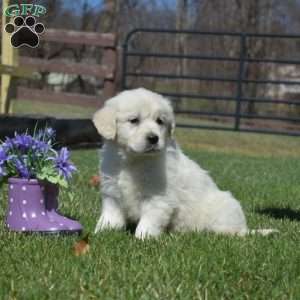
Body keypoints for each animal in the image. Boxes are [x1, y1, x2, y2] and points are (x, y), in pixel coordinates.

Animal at [92, 87, 276, 239]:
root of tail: (245, 228)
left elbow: (149, 220)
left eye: (160, 121)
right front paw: (103, 232)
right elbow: (111, 216)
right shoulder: (112, 192)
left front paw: (143, 238)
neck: (134, 160)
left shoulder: (159, 196)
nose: (153, 138)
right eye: (134, 120)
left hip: (224, 207)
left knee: (232, 232)